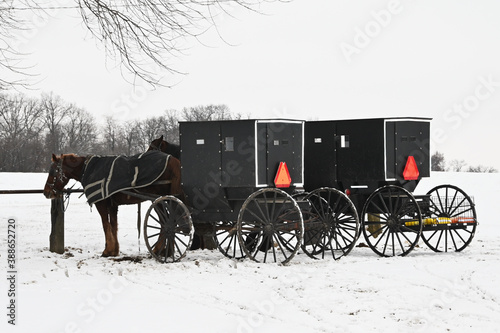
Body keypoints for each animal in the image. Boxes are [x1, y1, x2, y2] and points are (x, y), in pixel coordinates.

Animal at [43, 152, 184, 255]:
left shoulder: (101, 203)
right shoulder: (112, 205)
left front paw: (107, 250)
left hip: (159, 200)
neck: (87, 169)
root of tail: (173, 160)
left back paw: (160, 249)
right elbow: (113, 225)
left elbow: (106, 225)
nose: (46, 192)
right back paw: (166, 250)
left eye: (52, 171)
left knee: (166, 223)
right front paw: (114, 250)